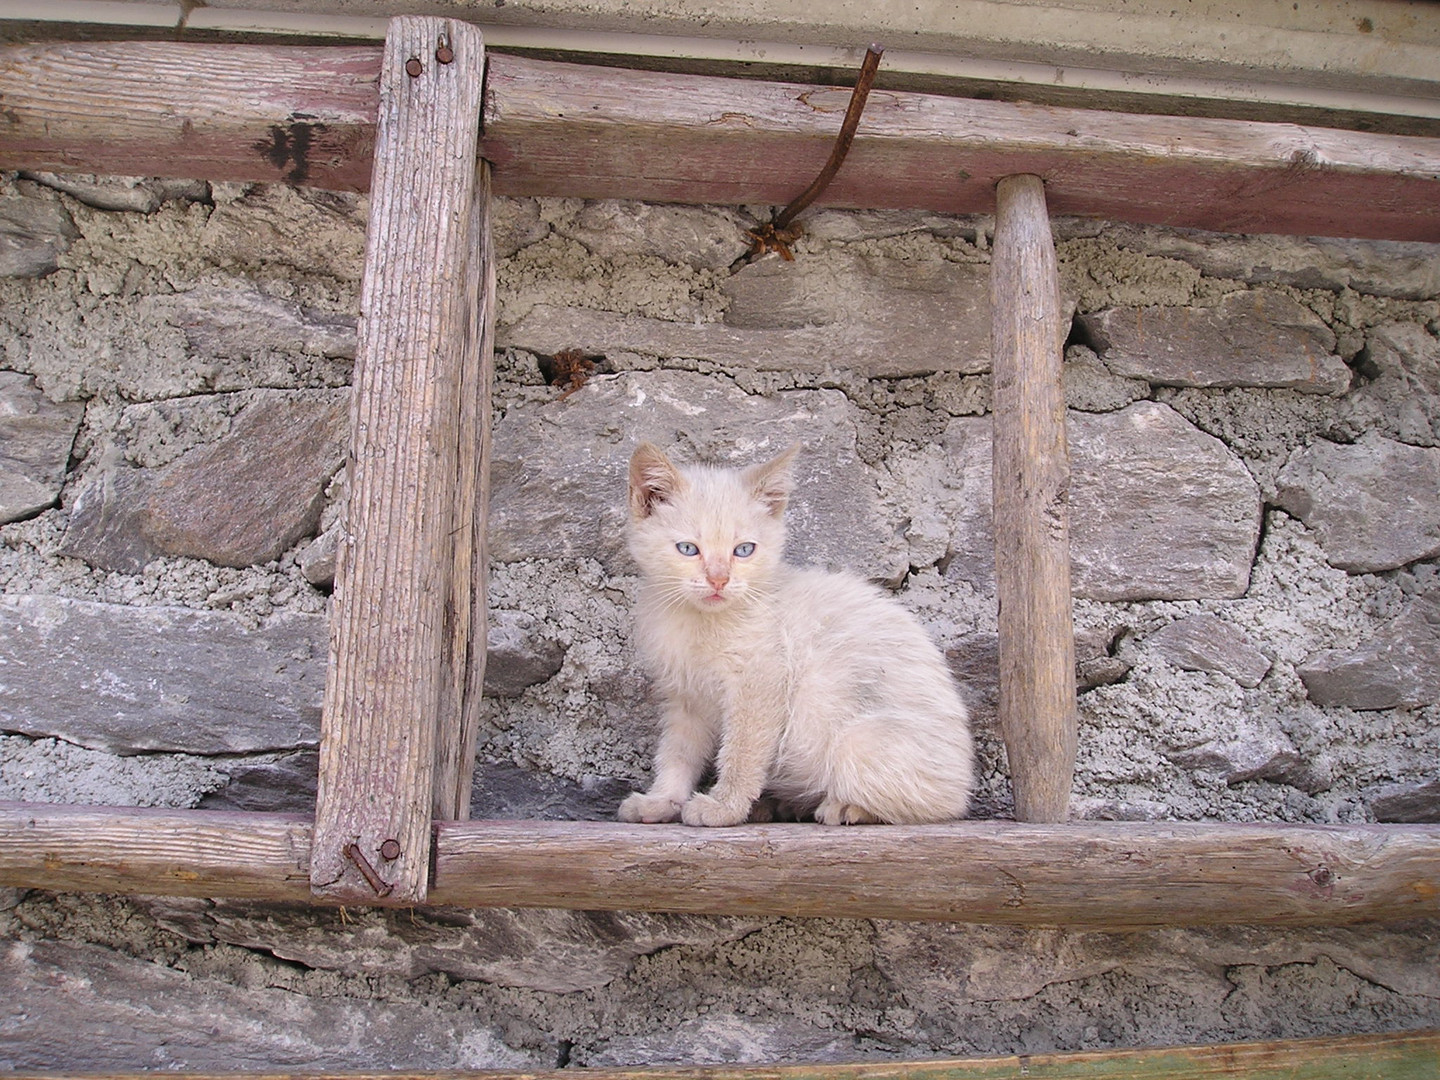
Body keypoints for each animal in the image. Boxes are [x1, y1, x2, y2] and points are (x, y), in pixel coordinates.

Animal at [613, 440, 973, 829]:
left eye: (744, 550)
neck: (699, 620)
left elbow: (741, 752)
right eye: (688, 549)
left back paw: (844, 808)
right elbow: (678, 753)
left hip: (857, 740)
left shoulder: (761, 683)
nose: (719, 580)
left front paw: (724, 807)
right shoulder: (687, 698)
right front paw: (662, 801)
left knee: (942, 805)